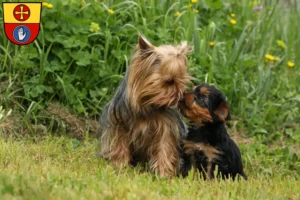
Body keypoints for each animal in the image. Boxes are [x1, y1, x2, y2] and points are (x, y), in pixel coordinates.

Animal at [98, 35, 192, 177]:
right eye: (170, 81)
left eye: (182, 82)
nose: (181, 96)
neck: (148, 103)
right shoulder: (120, 123)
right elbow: (120, 144)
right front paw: (121, 166)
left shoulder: (167, 127)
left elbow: (165, 147)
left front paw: (163, 173)